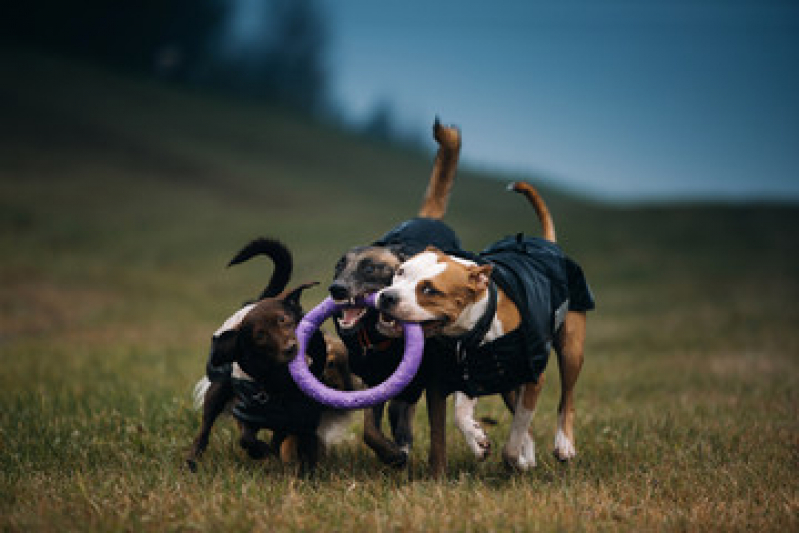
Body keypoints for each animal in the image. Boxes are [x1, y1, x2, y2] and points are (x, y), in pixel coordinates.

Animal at [188, 239, 354, 476]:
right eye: (260, 335)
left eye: (284, 320)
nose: (291, 347)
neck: (279, 383)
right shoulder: (247, 411)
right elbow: (247, 438)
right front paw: (261, 452)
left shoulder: (302, 418)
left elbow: (301, 443)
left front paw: (305, 472)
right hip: (217, 392)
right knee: (205, 426)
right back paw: (193, 458)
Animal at [376, 183, 592, 474]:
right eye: (399, 271)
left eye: (430, 290)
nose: (387, 296)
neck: (472, 334)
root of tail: (546, 243)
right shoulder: (459, 376)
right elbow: (454, 419)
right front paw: (476, 442)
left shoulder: (533, 379)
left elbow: (516, 433)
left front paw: (513, 459)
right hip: (506, 382)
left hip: (570, 350)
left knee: (566, 398)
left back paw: (563, 445)